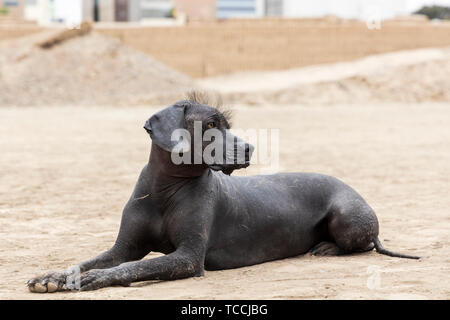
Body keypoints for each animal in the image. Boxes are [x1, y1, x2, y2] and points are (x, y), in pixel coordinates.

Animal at [26, 92, 420, 292]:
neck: (166, 188)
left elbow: (135, 268)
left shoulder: (187, 258)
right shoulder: (122, 248)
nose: (248, 147)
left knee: (362, 243)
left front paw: (94, 280)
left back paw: (325, 247)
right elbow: (90, 260)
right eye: (211, 125)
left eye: (227, 124)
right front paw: (54, 276)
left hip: (347, 216)